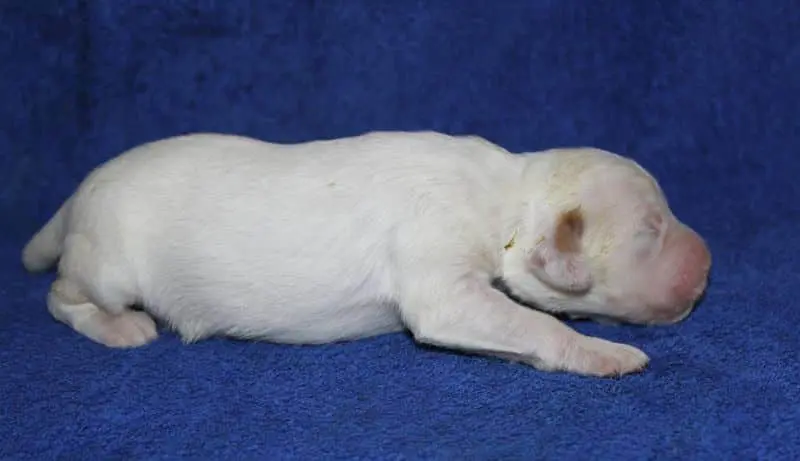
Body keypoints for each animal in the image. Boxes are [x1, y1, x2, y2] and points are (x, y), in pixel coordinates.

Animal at [21, 131, 711, 377]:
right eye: (651, 228)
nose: (708, 264)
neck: (506, 196)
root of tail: (78, 194)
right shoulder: (441, 276)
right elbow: (532, 324)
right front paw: (606, 353)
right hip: (108, 267)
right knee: (59, 296)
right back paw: (120, 328)